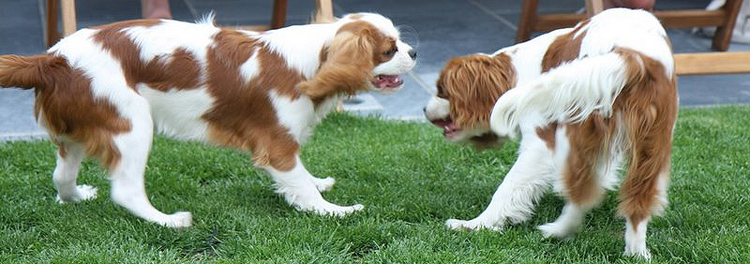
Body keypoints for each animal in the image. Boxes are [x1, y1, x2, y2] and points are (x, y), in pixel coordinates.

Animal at [0, 12, 418, 227]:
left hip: (80, 129)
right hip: (132, 123)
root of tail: (54, 59)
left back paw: (76, 197)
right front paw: (332, 210)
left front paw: (319, 183)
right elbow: (298, 180)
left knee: (62, 175)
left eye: (400, 42)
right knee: (126, 190)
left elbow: (302, 174)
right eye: (388, 50)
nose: (414, 52)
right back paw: (169, 221)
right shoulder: (276, 142)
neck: (314, 59)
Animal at [426, 8, 680, 260]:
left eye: (441, 91)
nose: (423, 110)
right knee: (636, 199)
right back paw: (636, 253)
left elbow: (509, 187)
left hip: (576, 127)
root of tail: (633, 56)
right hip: (653, 143)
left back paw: (555, 230)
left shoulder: (541, 144)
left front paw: (480, 224)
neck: (516, 71)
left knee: (581, 192)